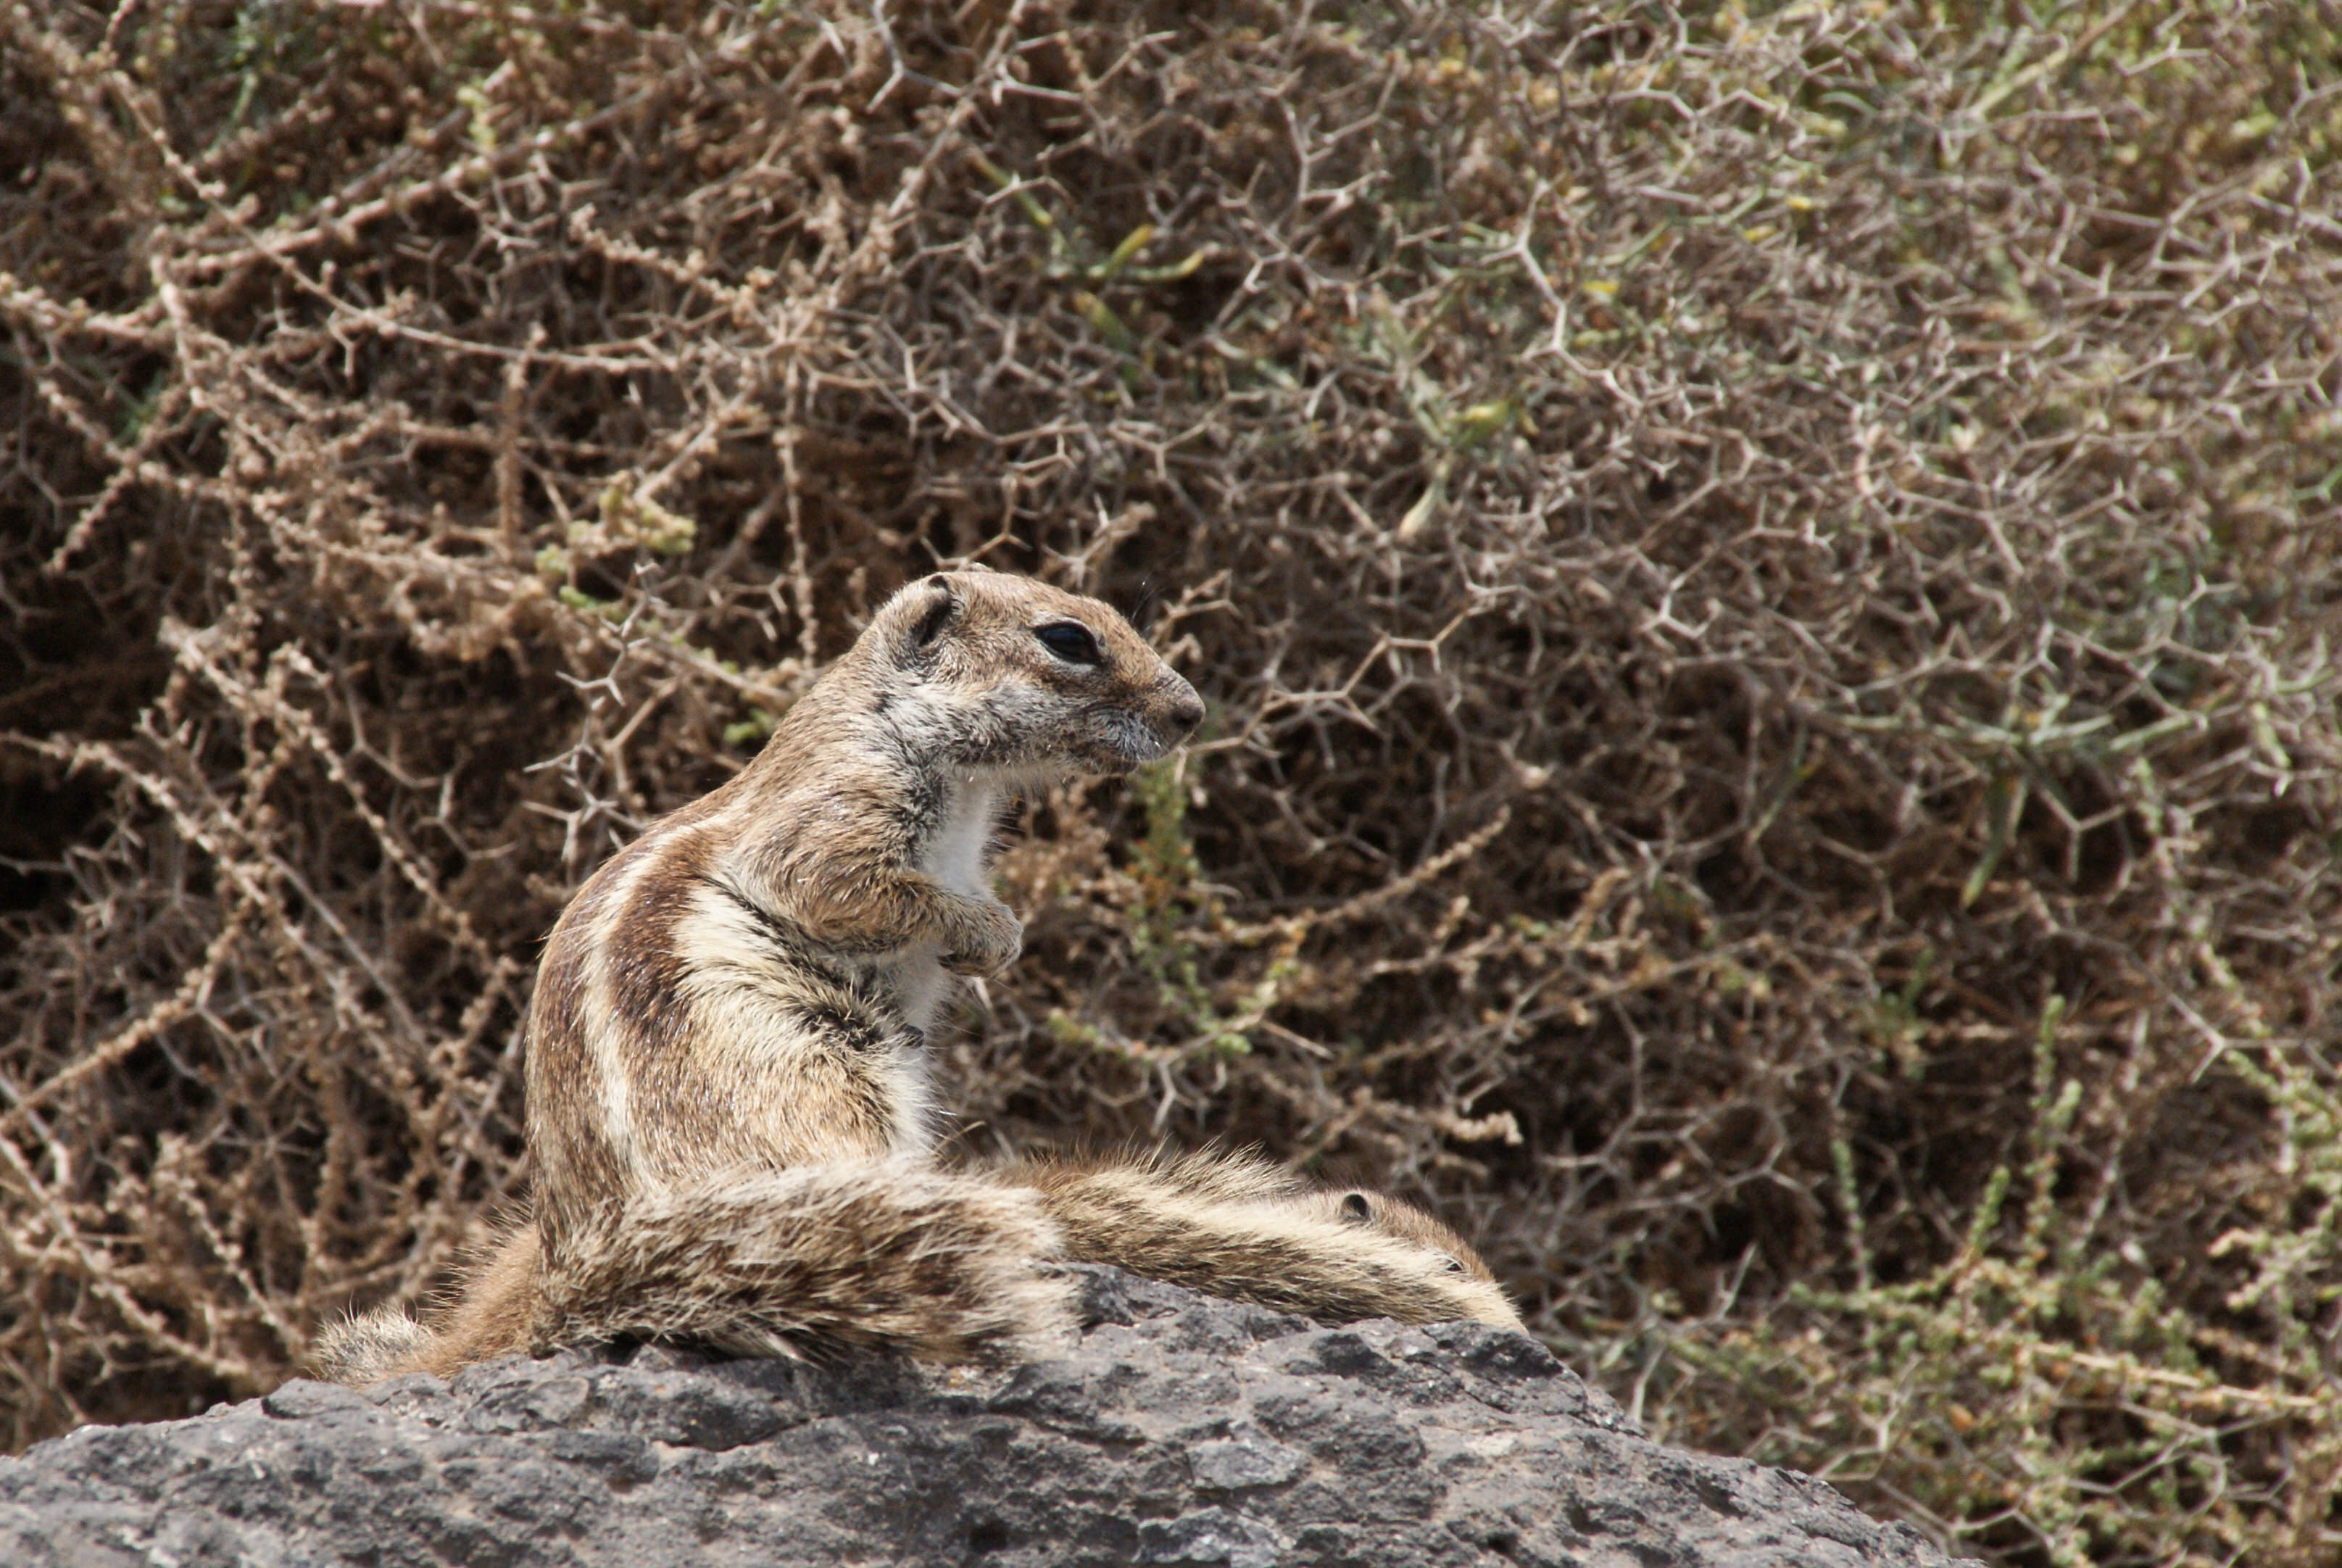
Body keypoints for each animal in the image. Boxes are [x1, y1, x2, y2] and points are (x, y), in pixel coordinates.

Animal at [317, 569, 1520, 1385]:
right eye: (1069, 639)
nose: (1191, 712)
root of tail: (592, 1259)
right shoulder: (830, 823)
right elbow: (863, 891)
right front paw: (987, 931)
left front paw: (994, 941)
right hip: (817, 1072)